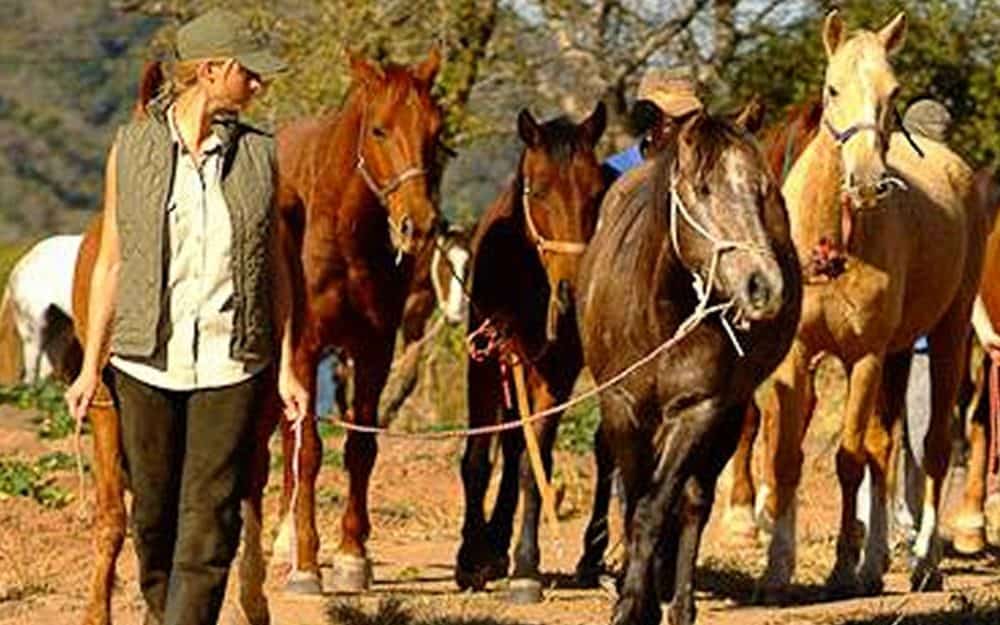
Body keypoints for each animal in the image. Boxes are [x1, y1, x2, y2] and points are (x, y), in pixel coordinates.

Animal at [270, 47, 444, 594]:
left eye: (436, 131)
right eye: (380, 130)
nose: (419, 224)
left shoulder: (375, 350)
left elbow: (360, 448)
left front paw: (352, 557)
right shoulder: (303, 349)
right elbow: (308, 451)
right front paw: (306, 565)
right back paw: (285, 542)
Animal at [454, 103, 607, 597]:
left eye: (596, 193)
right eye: (538, 191)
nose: (572, 295)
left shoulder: (554, 375)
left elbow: (531, 466)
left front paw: (525, 565)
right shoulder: (483, 364)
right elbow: (478, 461)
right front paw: (469, 557)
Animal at [576, 100, 800, 625]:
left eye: (761, 190)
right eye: (703, 189)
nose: (765, 286)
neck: (659, 313)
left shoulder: (698, 410)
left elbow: (657, 506)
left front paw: (641, 601)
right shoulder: (621, 408)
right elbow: (635, 500)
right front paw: (630, 600)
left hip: (730, 410)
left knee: (695, 499)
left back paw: (678, 601)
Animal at [755, 10, 989, 597]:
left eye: (893, 90)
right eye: (833, 88)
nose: (865, 182)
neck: (832, 238)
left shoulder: (862, 358)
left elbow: (848, 459)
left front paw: (841, 568)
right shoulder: (797, 356)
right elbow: (789, 457)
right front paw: (777, 568)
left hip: (948, 337)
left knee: (930, 448)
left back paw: (924, 561)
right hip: (900, 352)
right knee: (886, 450)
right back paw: (876, 560)